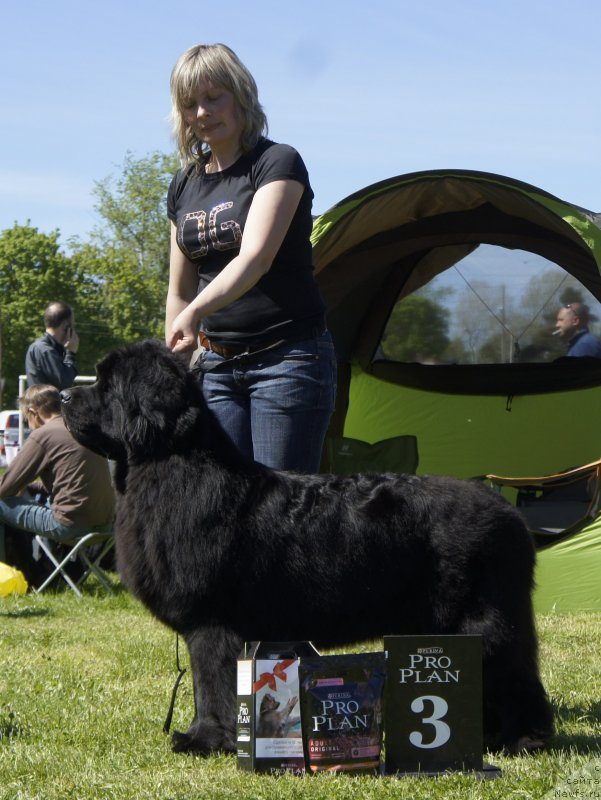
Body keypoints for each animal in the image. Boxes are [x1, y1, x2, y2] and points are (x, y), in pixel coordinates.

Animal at [61, 338, 552, 756]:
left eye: (106, 385)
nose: (64, 396)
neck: (171, 466)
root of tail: (508, 512)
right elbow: (206, 688)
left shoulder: (212, 623)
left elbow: (212, 685)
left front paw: (205, 740)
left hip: (484, 620)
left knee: (515, 675)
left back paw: (523, 739)